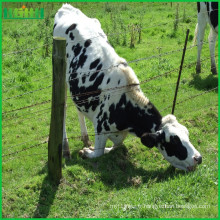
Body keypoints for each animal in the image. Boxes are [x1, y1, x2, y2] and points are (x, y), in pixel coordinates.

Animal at [53, 3, 203, 172]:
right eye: (174, 141)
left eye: (187, 134)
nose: (198, 158)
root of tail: (66, 7)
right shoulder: (100, 128)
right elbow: (98, 153)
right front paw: (86, 152)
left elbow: (117, 145)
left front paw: (93, 148)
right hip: (63, 79)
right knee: (63, 109)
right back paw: (65, 148)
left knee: (79, 109)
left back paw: (85, 138)